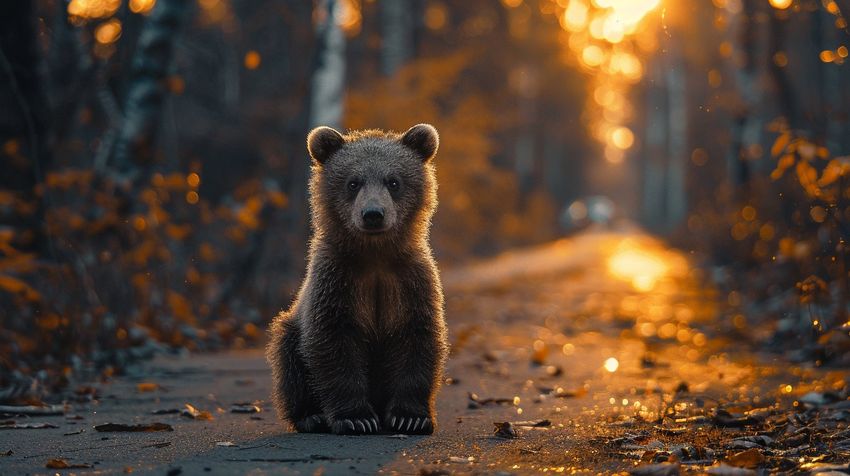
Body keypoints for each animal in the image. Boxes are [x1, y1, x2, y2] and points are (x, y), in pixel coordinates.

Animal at [264, 123, 448, 436]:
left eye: (393, 181)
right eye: (353, 182)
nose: (373, 214)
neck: (374, 255)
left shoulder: (411, 281)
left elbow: (418, 337)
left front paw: (411, 418)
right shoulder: (336, 281)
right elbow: (333, 340)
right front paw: (356, 418)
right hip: (291, 330)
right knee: (288, 359)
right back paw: (311, 417)